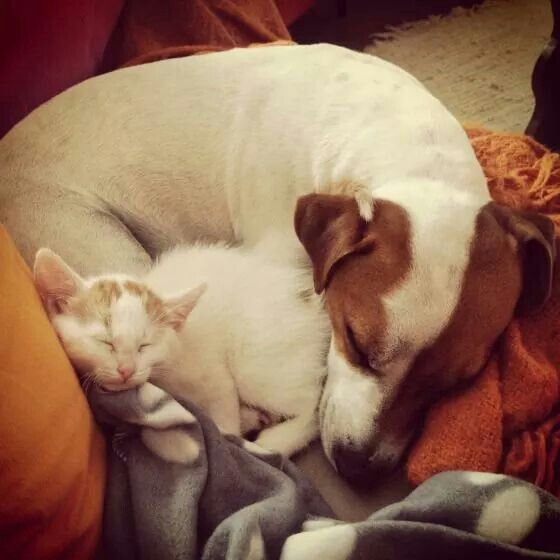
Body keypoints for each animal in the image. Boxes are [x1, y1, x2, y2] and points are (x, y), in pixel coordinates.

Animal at [32, 243, 328, 458]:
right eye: (106, 342)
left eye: (145, 345)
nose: (126, 370)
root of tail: (305, 299)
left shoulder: (213, 374)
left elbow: (223, 416)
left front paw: (230, 440)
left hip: (256, 361)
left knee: (312, 406)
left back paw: (278, 439)